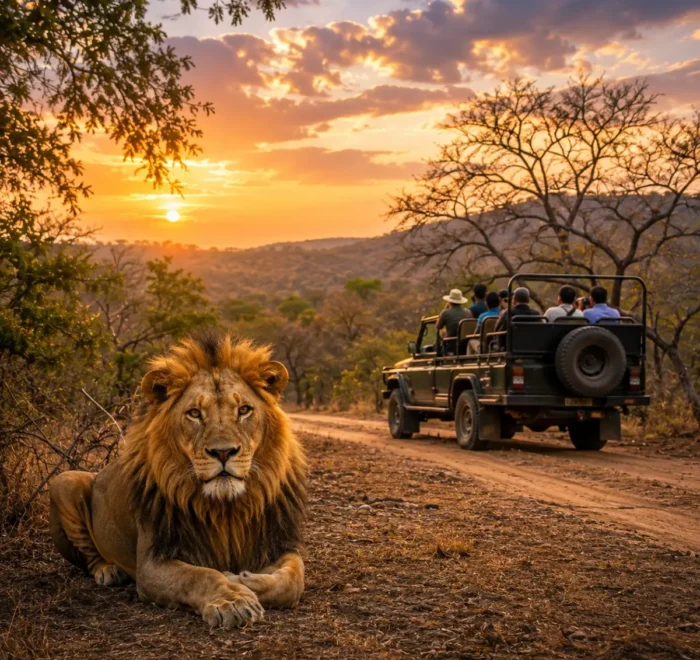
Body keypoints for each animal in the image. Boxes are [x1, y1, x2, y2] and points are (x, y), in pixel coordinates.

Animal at [48, 333, 307, 629]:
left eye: (244, 410)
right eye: (194, 413)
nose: (223, 452)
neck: (227, 509)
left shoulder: (277, 542)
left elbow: (293, 579)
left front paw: (241, 579)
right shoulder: (152, 563)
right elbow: (199, 576)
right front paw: (232, 600)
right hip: (64, 481)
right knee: (89, 557)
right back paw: (108, 571)